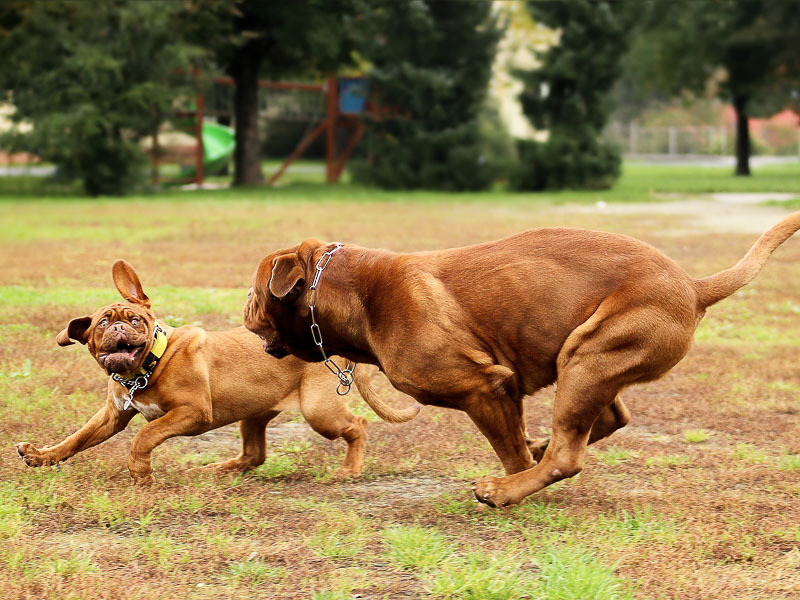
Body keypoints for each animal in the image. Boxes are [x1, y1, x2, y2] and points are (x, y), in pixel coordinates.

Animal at [15, 260, 418, 486]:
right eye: (101, 324)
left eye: (135, 319)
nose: (118, 329)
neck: (148, 367)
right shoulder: (112, 415)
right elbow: (77, 439)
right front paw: (41, 456)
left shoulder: (193, 413)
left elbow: (144, 436)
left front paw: (141, 474)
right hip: (254, 412)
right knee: (254, 456)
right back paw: (213, 470)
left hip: (319, 411)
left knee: (358, 426)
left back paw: (349, 471)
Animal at [242, 211, 800, 506]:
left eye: (255, 288)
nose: (242, 303)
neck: (355, 292)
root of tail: (693, 285)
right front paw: (528, 448)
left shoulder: (485, 386)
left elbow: (510, 449)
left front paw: (510, 481)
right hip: (590, 359)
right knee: (608, 419)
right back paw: (540, 445)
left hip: (586, 358)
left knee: (568, 455)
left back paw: (505, 489)